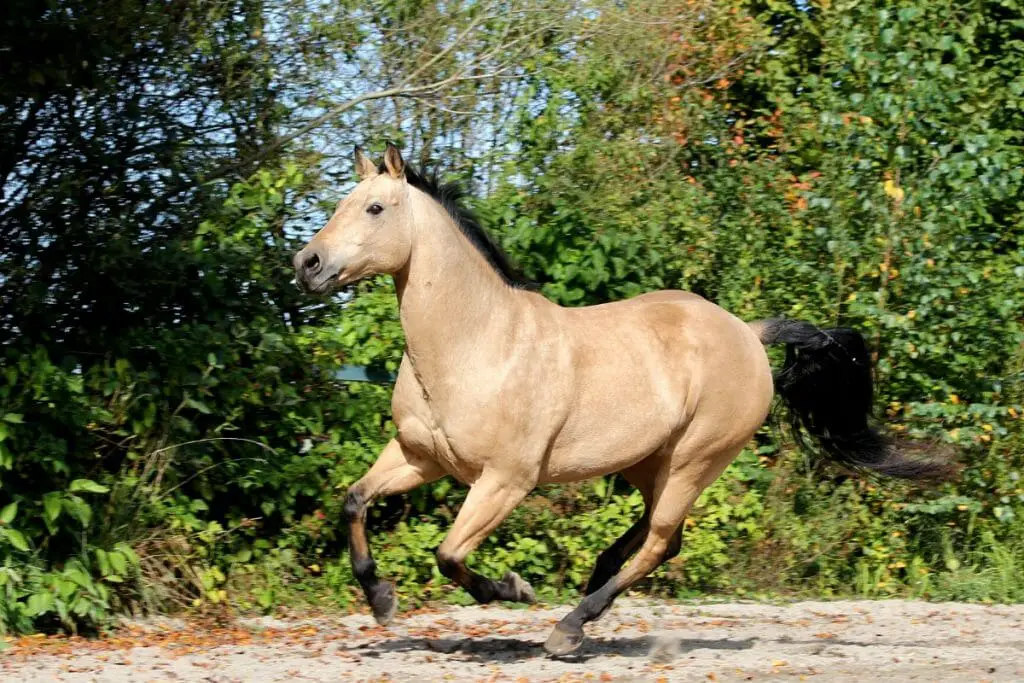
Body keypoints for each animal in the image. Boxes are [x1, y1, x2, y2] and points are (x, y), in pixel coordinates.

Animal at [292, 144, 946, 655]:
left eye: (375, 207)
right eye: (342, 201)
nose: (307, 263)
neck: (477, 343)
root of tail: (749, 334)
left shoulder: (505, 480)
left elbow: (448, 554)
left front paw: (512, 589)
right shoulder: (420, 456)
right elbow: (354, 502)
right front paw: (381, 600)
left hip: (694, 460)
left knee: (658, 541)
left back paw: (569, 628)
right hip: (647, 461)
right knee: (658, 534)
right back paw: (590, 597)